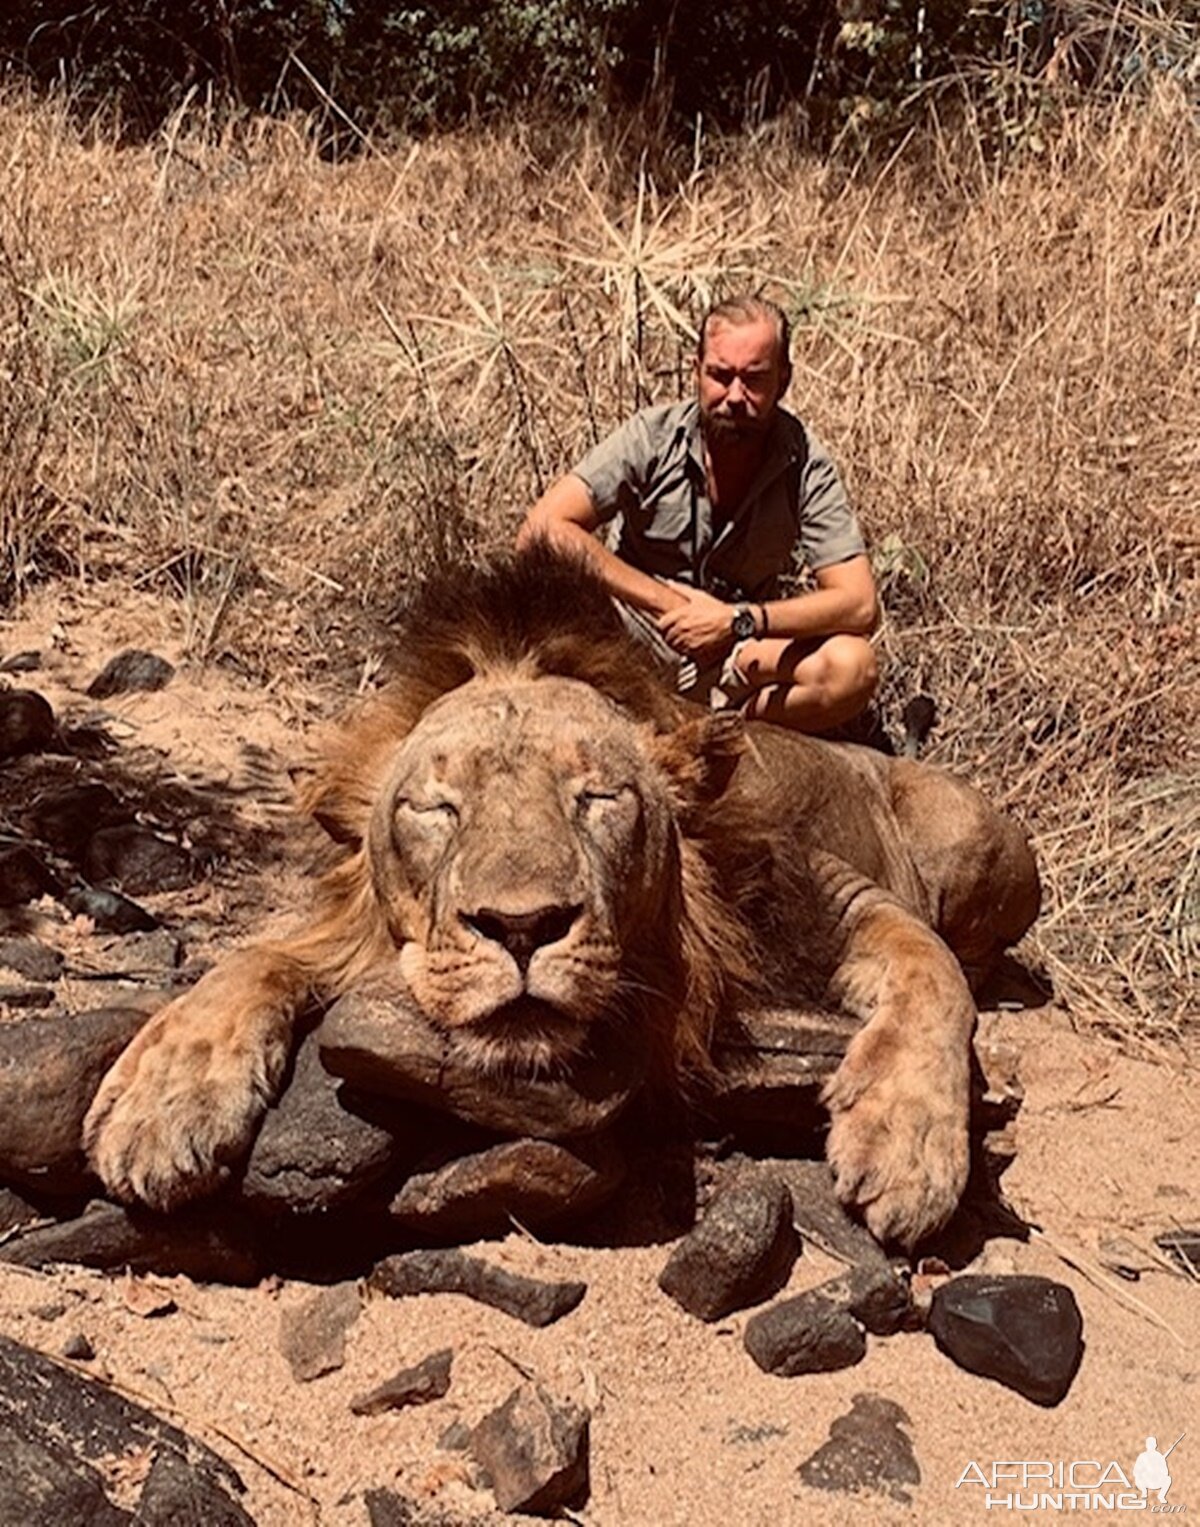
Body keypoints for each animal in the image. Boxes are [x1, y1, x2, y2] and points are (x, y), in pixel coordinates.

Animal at [83, 543, 1038, 1246]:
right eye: (436, 806)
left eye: (598, 797)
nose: (521, 926)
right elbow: (252, 960)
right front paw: (162, 1099)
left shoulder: (832, 895)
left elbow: (932, 972)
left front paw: (906, 1148)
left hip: (978, 836)